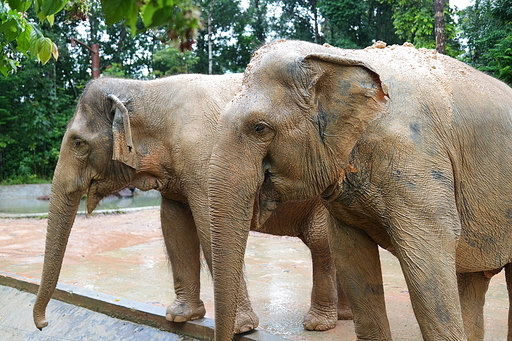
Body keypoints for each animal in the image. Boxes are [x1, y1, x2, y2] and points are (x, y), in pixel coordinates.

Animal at [32, 73, 352, 332]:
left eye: (78, 143)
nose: (44, 323)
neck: (145, 90)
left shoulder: (205, 158)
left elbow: (210, 226)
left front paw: (240, 328)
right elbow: (174, 224)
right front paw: (179, 317)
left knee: (321, 242)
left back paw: (320, 324)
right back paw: (345, 316)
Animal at [206, 40, 512, 340]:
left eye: (259, 128)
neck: (338, 57)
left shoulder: (414, 160)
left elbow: (430, 255)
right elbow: (352, 258)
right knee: (471, 279)